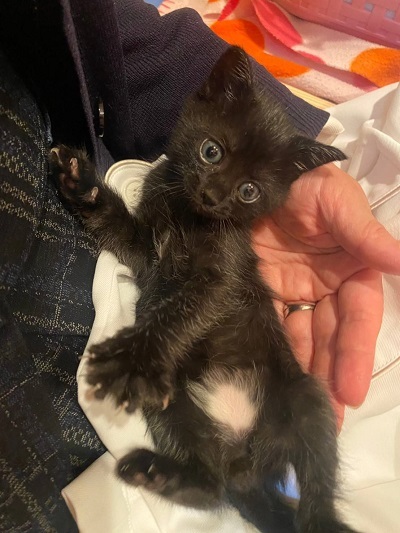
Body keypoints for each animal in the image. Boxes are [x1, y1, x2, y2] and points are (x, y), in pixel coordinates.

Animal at [51, 46, 358, 533]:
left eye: (249, 191)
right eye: (211, 151)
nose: (213, 196)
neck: (186, 215)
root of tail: (245, 459)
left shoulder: (221, 277)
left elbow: (183, 309)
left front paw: (133, 357)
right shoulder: (144, 248)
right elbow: (114, 222)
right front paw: (81, 182)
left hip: (306, 399)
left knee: (315, 487)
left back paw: (319, 519)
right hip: (170, 401)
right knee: (211, 484)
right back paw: (156, 473)